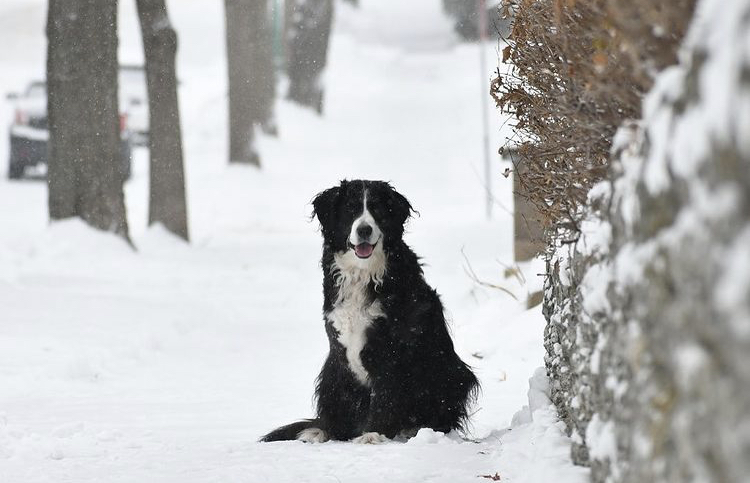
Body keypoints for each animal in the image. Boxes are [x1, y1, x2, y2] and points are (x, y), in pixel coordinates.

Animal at [262, 180, 478, 444]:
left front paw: (373, 433)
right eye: (351, 209)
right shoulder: (339, 350)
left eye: (377, 210)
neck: (363, 274)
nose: (364, 230)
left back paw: (414, 429)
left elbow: (386, 394)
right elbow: (345, 397)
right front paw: (334, 431)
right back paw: (318, 430)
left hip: (448, 373)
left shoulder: (392, 348)